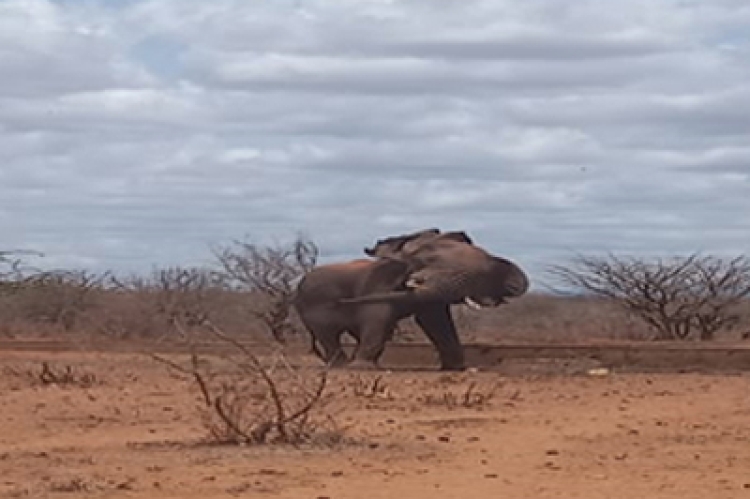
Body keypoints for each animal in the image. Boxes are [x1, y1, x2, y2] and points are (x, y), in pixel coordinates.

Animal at [292, 229, 529, 370]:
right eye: (426, 260)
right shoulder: (380, 283)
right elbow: (379, 316)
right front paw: (362, 369)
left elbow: (436, 321)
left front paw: (454, 369)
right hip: (312, 305)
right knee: (328, 334)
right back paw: (342, 366)